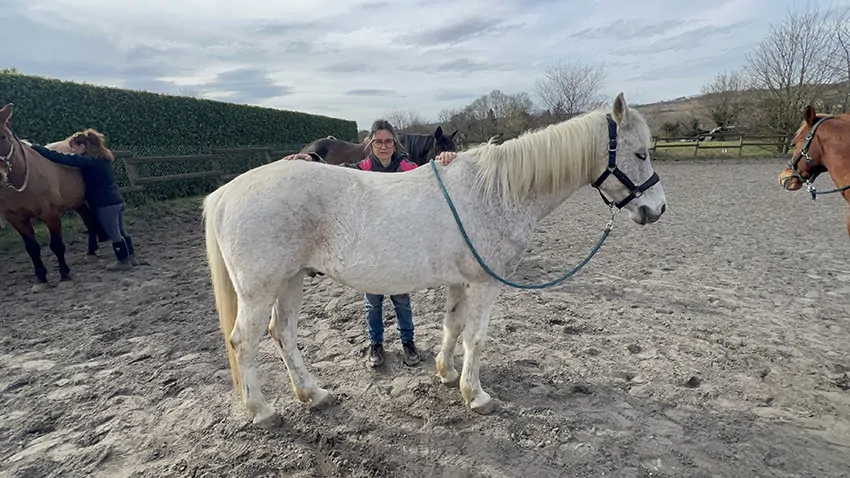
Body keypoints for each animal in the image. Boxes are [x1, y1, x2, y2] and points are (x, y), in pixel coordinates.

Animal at [0, 104, 110, 292]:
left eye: (3, 136)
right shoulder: (16, 219)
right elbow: (32, 248)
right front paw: (40, 279)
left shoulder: (50, 213)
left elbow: (57, 245)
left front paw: (64, 276)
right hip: (77, 202)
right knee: (89, 220)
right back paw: (91, 252)